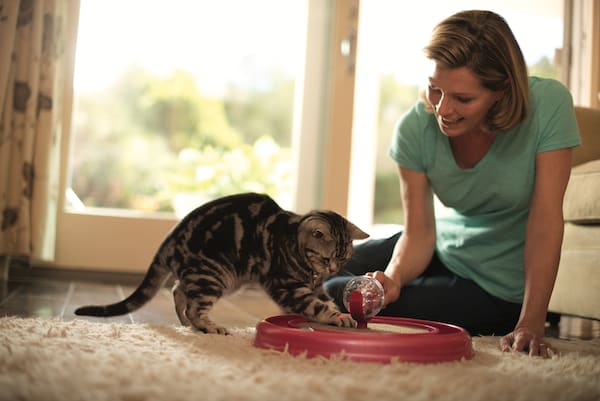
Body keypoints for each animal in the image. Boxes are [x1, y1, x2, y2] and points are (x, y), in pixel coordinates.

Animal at [74, 192, 366, 332]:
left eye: (343, 258)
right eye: (327, 257)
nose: (331, 269)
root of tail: (171, 237)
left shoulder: (315, 286)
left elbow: (326, 300)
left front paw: (344, 314)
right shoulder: (289, 287)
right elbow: (317, 306)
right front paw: (338, 318)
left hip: (216, 278)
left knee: (178, 290)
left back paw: (187, 323)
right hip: (215, 275)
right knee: (193, 305)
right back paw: (209, 327)